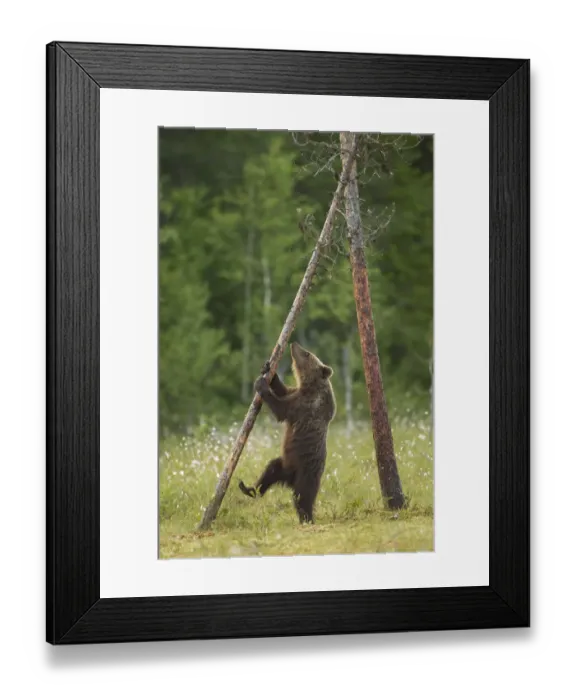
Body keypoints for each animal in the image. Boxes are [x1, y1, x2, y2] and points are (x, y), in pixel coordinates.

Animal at [238, 341, 336, 524]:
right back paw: (249, 489)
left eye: (307, 353)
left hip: (306, 472)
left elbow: (281, 409)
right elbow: (283, 390)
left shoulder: (304, 405)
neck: (309, 387)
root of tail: (291, 479)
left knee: (303, 498)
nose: (294, 343)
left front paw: (261, 385)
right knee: (270, 471)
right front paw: (268, 370)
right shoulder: (295, 392)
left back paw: (307, 519)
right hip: (285, 465)